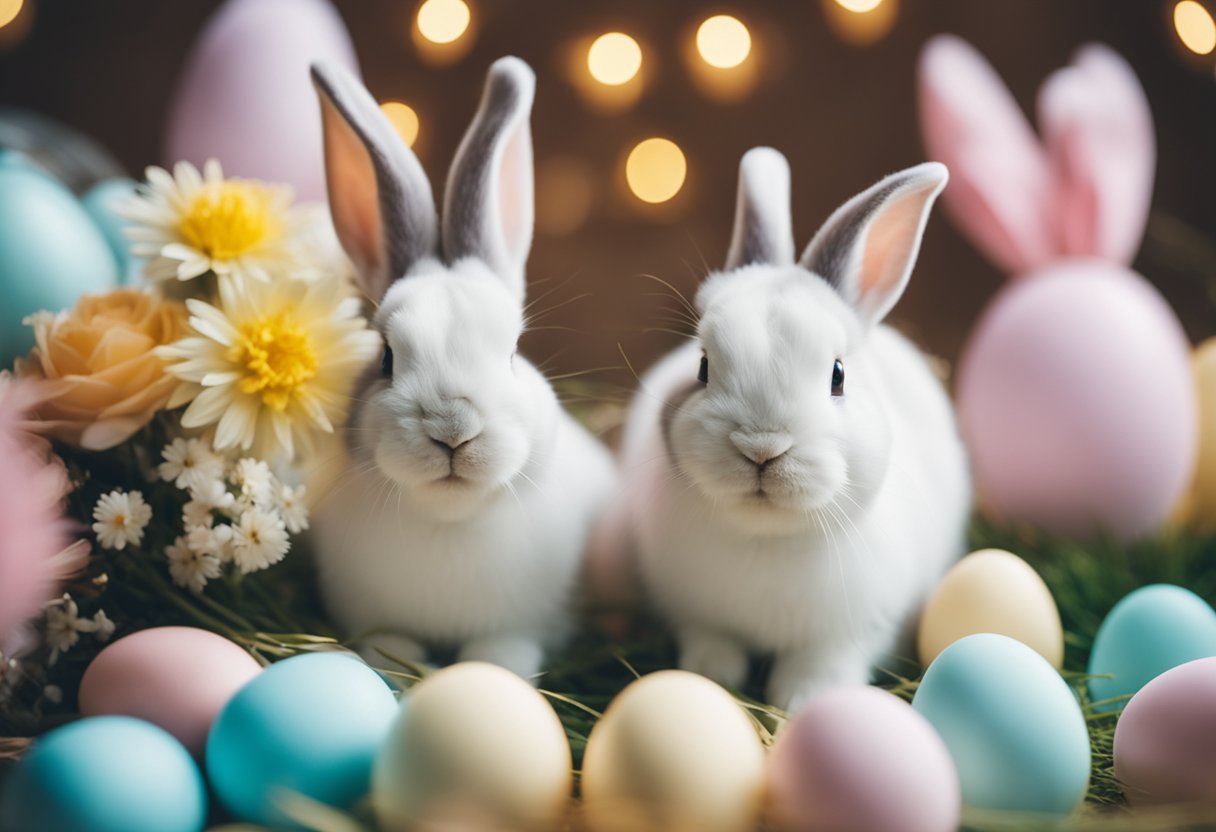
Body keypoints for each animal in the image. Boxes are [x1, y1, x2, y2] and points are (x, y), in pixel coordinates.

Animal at [308, 60, 617, 681]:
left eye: (514, 352)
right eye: (386, 357)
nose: (453, 429)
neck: (449, 523)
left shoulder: (527, 625)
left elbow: (501, 653)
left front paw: (495, 671)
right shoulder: (375, 619)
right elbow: (388, 648)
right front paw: (396, 667)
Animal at [612, 149, 972, 710]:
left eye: (838, 375)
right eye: (702, 368)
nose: (761, 449)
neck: (768, 539)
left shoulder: (851, 633)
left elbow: (822, 664)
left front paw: (801, 700)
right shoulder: (697, 617)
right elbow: (711, 642)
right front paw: (710, 675)